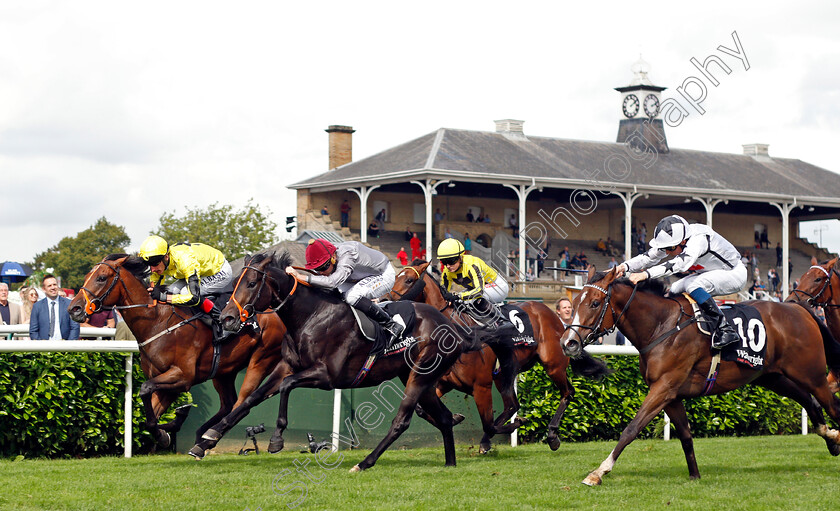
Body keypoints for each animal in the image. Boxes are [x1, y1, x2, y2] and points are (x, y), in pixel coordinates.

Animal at [65, 254, 290, 454]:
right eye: (87, 276)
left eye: (101, 278)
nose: (74, 308)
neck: (156, 322)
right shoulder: (167, 381)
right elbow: (150, 418)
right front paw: (166, 431)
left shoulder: (182, 376)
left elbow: (145, 389)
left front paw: (172, 425)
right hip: (224, 371)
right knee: (228, 404)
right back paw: (202, 437)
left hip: (261, 359)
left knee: (243, 401)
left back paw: (209, 437)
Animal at [209, 252, 498, 472]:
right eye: (236, 282)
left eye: (252, 283)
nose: (227, 318)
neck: (311, 316)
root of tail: (452, 327)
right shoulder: (286, 366)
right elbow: (252, 397)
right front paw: (209, 437)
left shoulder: (327, 376)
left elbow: (286, 386)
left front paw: (277, 439)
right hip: (420, 379)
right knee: (445, 418)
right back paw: (450, 463)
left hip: (420, 377)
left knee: (401, 421)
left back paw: (364, 463)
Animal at [388, 264, 612, 452]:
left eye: (408, 280)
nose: (386, 302)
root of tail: (560, 322)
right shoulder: (444, 383)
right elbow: (420, 410)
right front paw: (454, 418)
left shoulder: (481, 386)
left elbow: (487, 423)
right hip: (503, 373)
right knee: (512, 404)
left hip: (553, 365)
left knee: (567, 393)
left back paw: (551, 436)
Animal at [560, 266, 840, 486]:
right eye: (573, 304)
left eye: (595, 303)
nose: (568, 343)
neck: (662, 325)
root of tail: (799, 309)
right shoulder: (671, 395)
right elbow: (685, 435)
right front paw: (695, 476)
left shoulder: (663, 388)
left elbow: (631, 429)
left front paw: (598, 472)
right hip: (773, 376)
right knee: (809, 400)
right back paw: (831, 437)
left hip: (811, 373)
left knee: (831, 404)